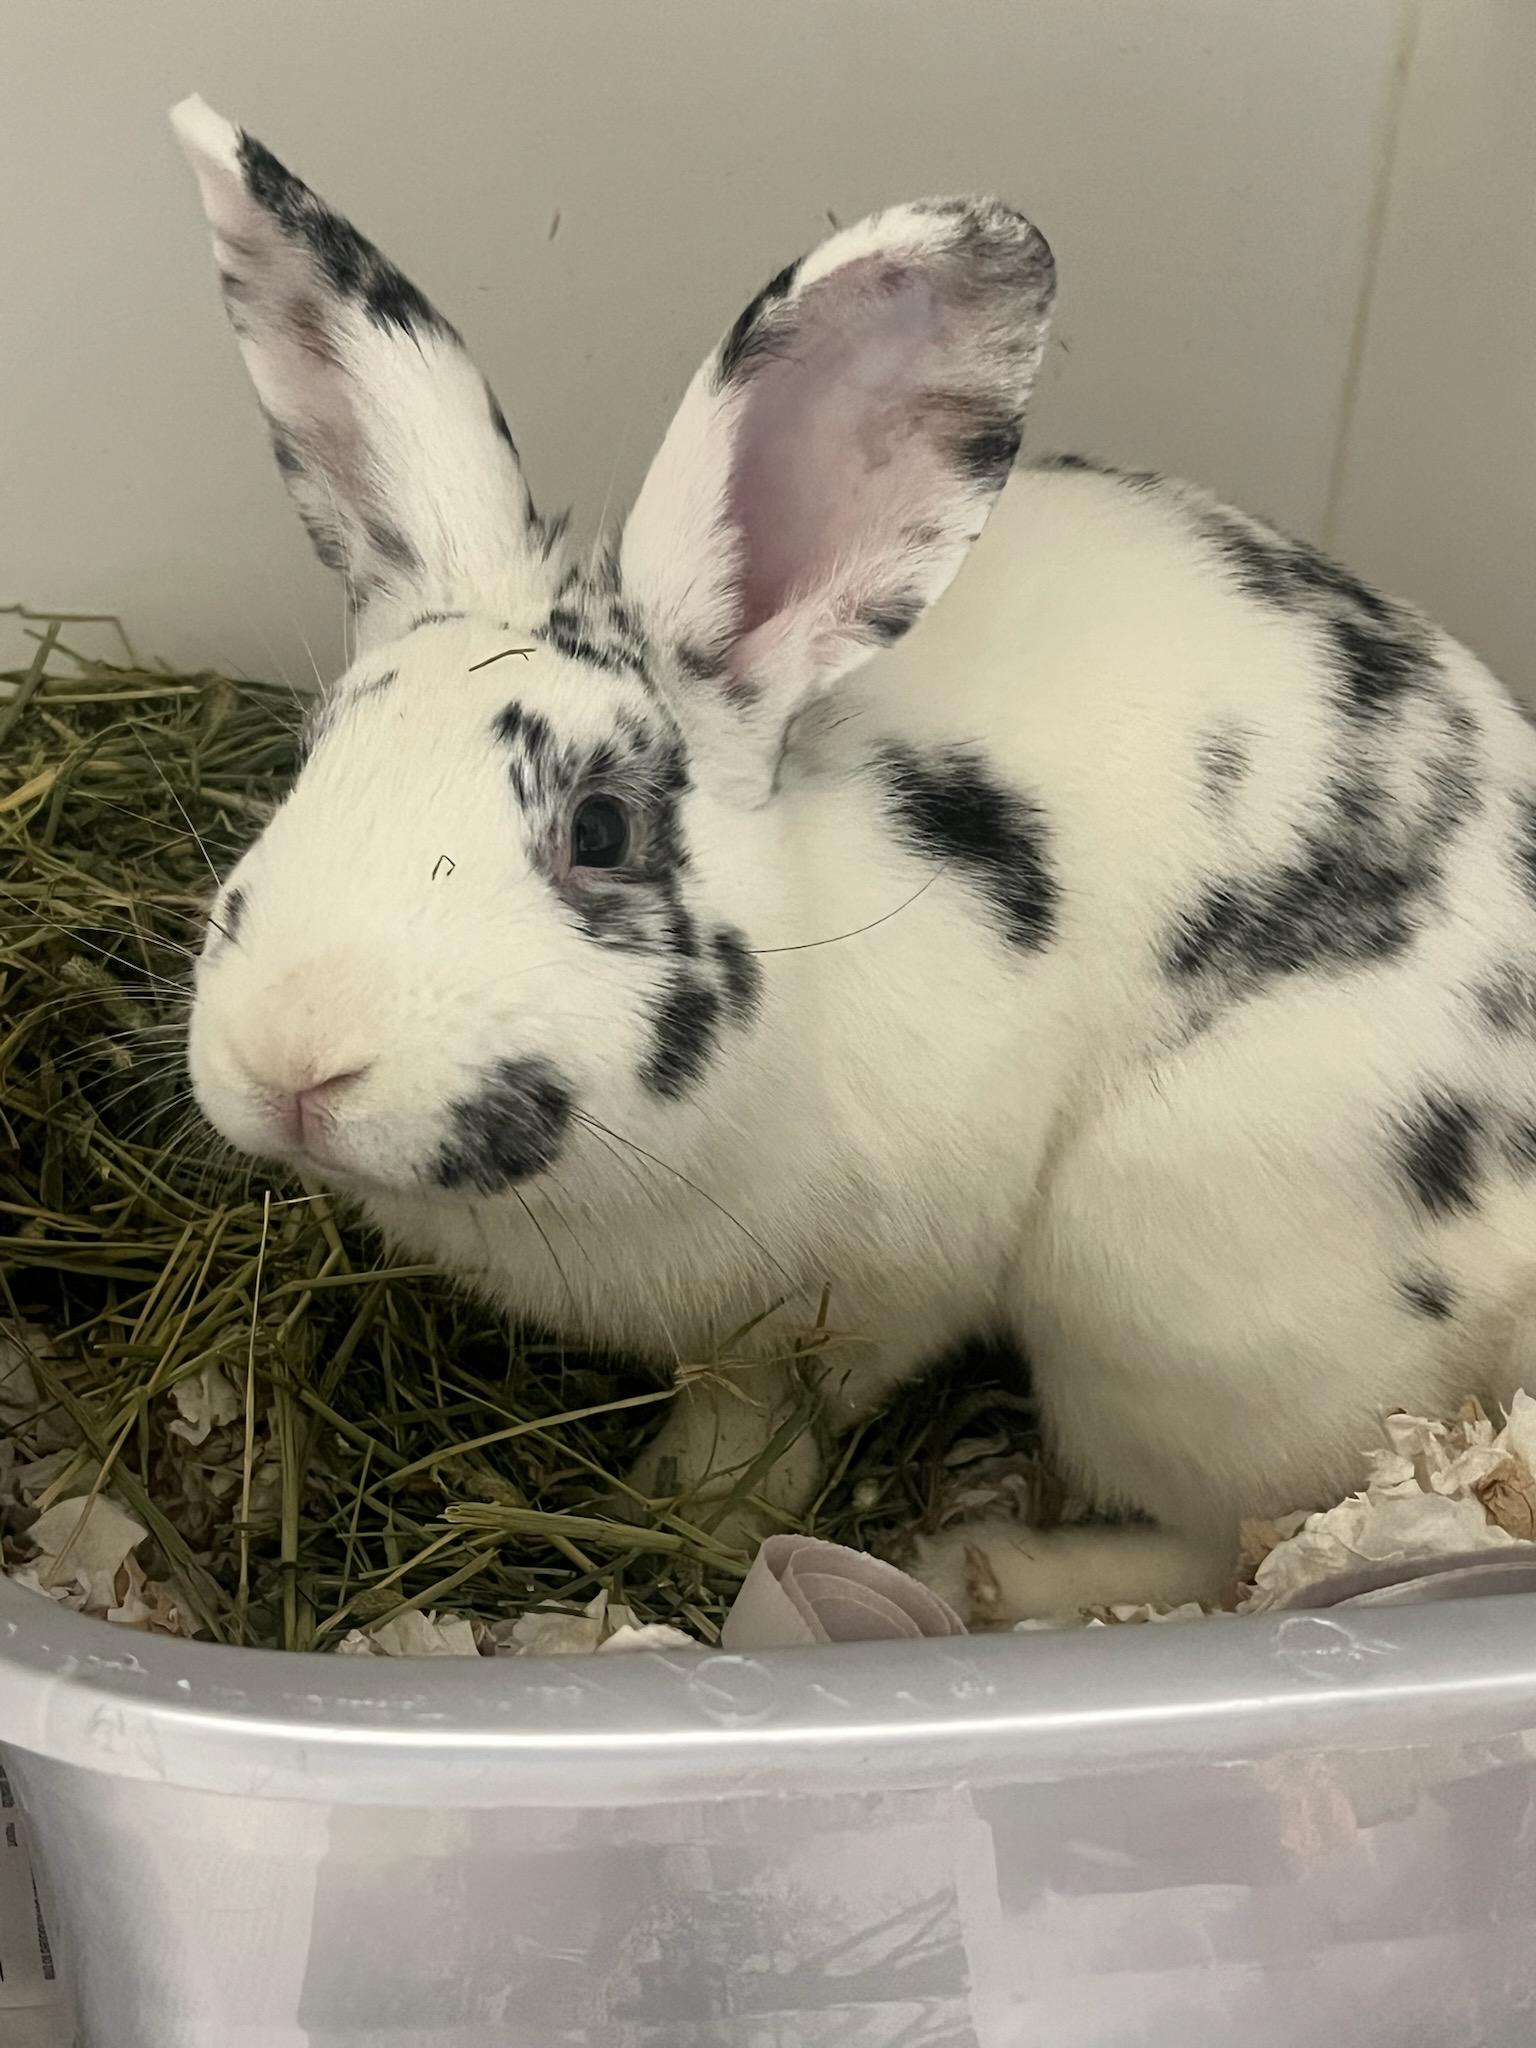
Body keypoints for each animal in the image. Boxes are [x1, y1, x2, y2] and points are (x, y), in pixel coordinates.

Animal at [171, 95, 1536, 1623]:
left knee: (1229, 1540)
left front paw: (697, 1522)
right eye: (314, 756)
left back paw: (986, 1565)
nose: (294, 1061)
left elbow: (769, 1429)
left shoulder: (872, 1300)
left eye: (601, 828)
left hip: (1171, 1297)